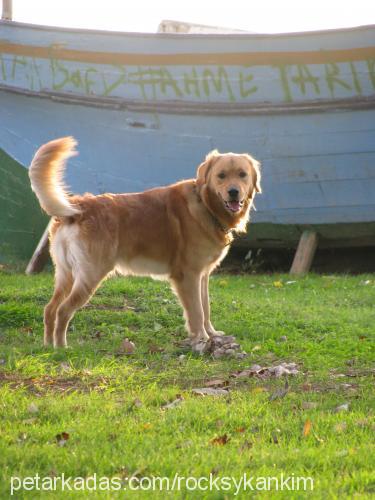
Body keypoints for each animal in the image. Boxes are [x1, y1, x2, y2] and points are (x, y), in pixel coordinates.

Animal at [29, 138, 262, 352]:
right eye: (221, 176)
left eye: (242, 174)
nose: (234, 192)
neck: (205, 205)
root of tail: (78, 207)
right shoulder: (188, 276)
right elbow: (196, 312)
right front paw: (202, 339)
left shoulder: (202, 275)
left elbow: (206, 308)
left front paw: (212, 334)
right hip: (90, 276)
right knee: (63, 311)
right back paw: (61, 348)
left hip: (66, 275)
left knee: (49, 309)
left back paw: (47, 346)